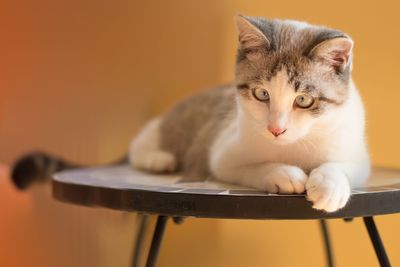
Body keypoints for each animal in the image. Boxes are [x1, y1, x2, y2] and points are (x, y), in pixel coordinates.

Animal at [130, 16, 370, 214]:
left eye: (303, 100)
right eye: (262, 94)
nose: (276, 130)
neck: (293, 145)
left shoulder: (354, 149)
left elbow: (344, 165)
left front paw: (330, 184)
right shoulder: (224, 153)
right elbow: (250, 168)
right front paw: (283, 174)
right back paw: (158, 159)